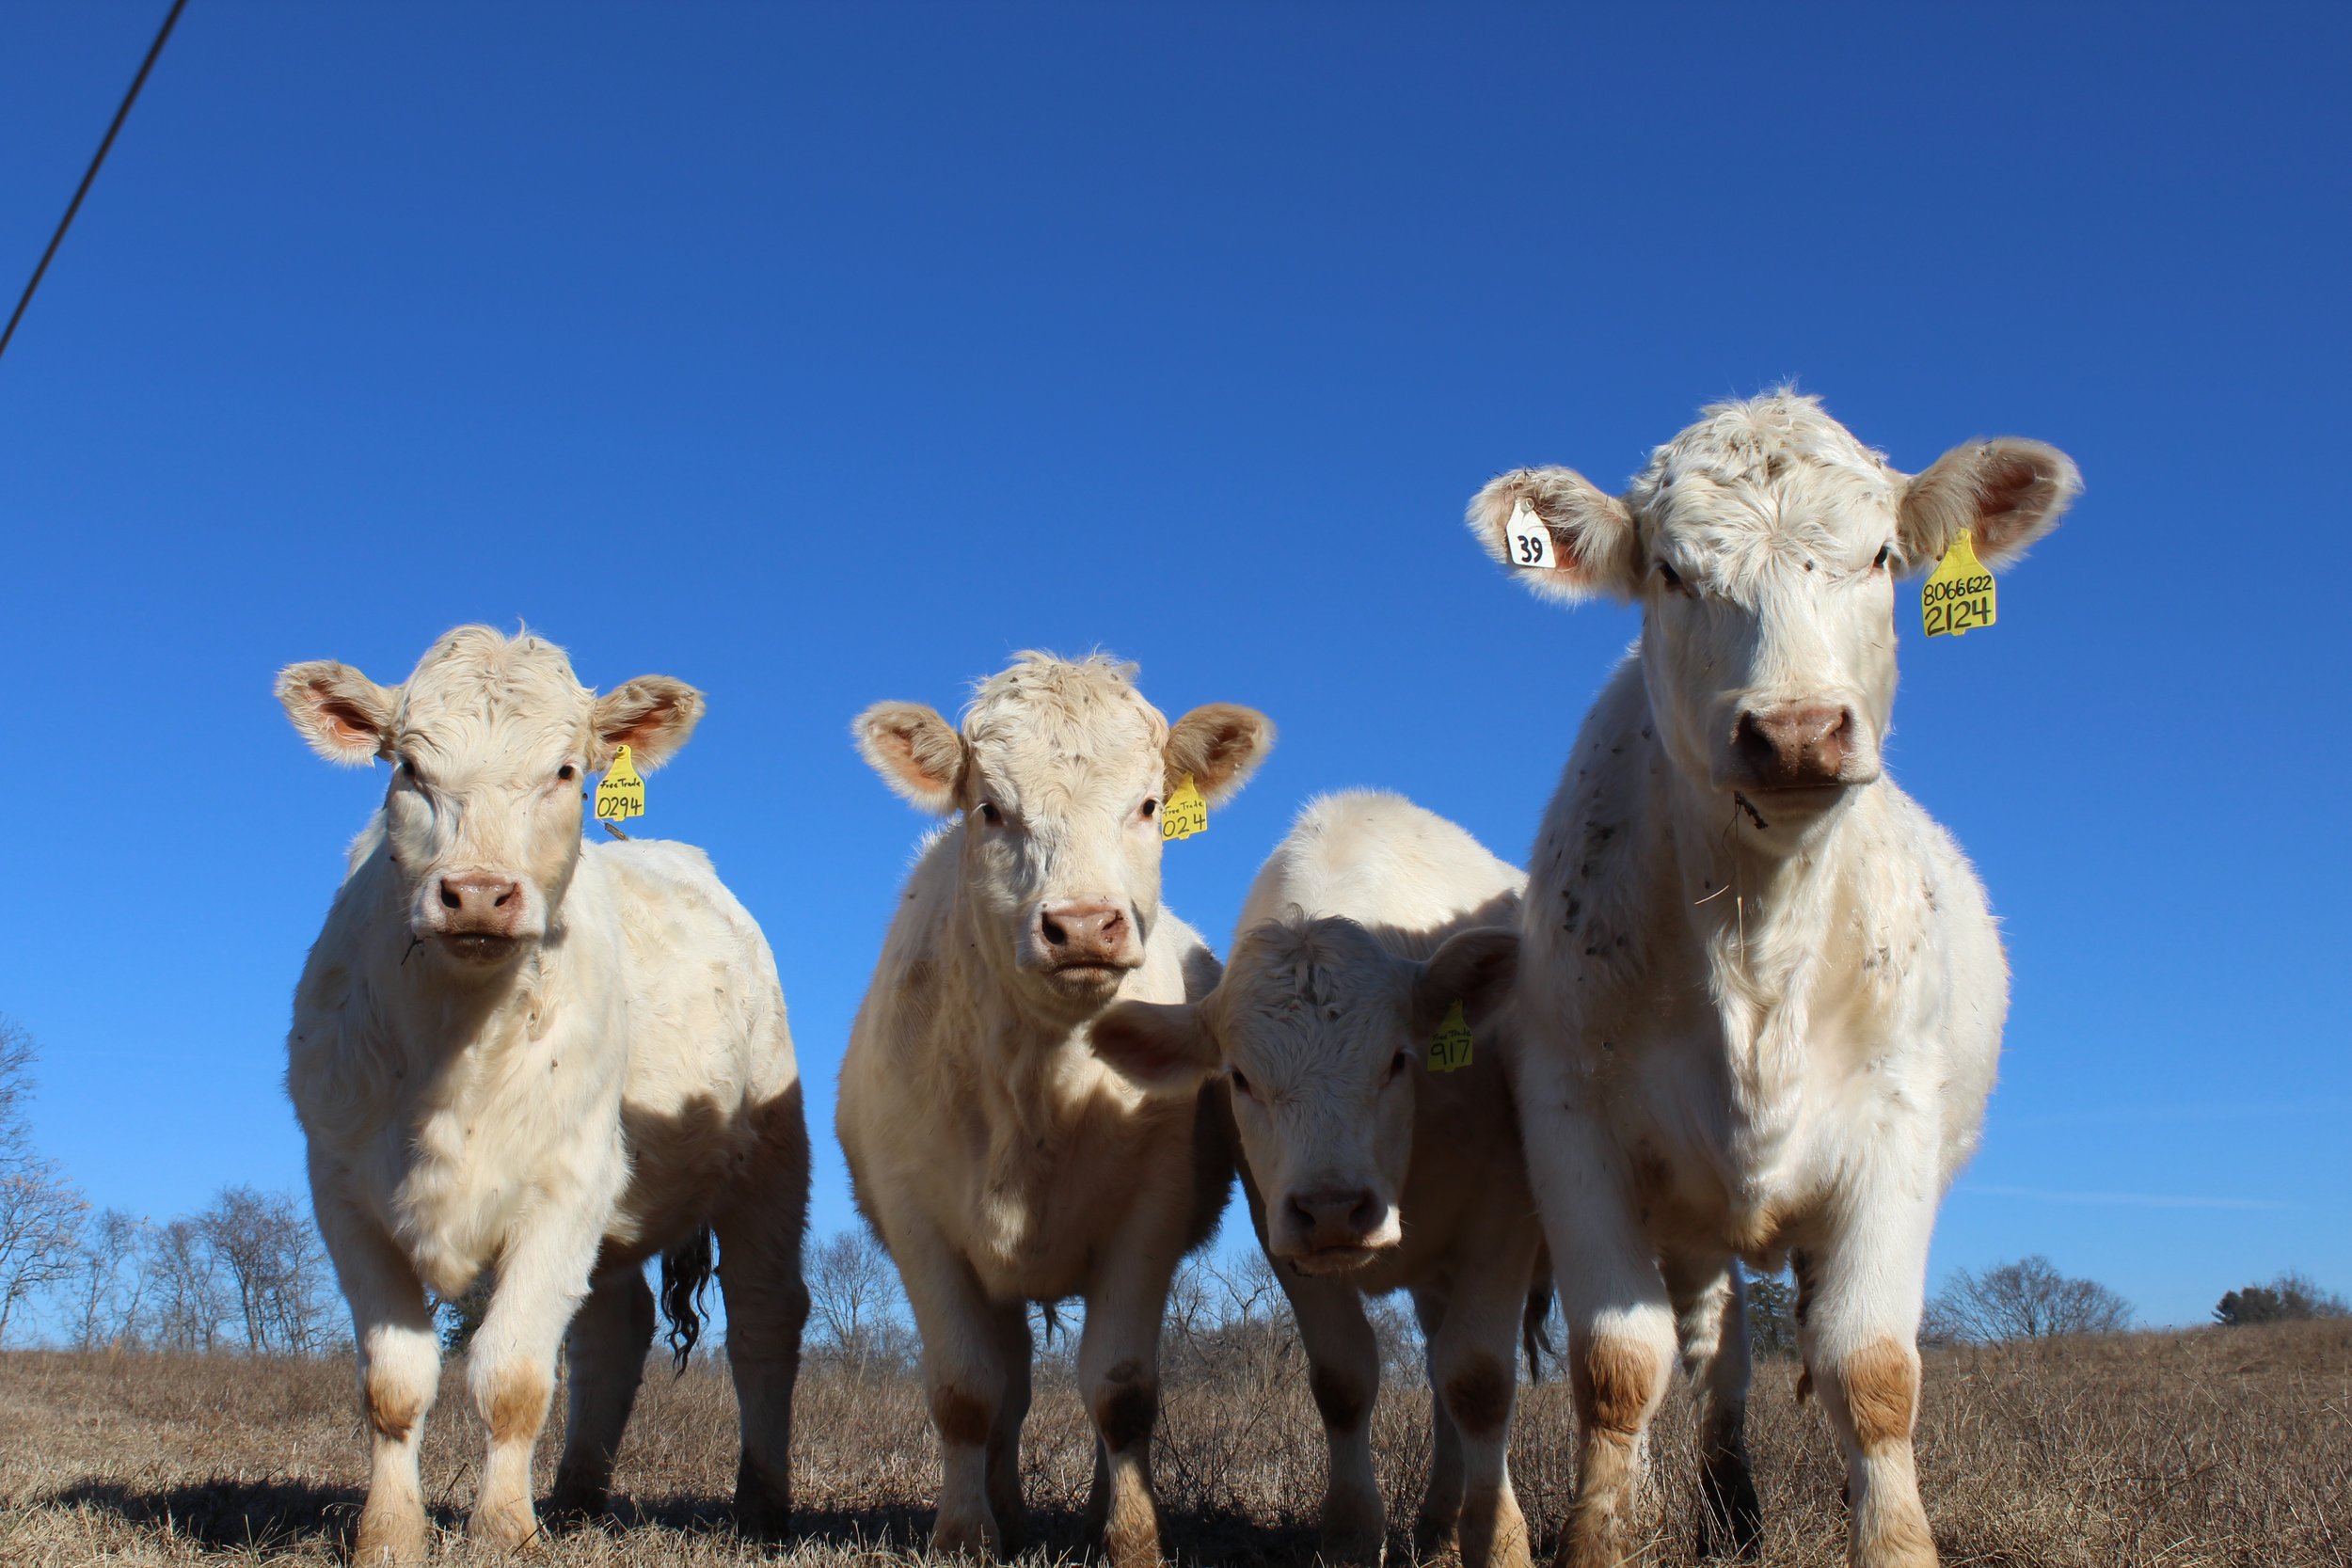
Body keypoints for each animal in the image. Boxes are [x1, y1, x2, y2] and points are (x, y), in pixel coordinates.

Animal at [276, 625, 809, 1564]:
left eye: (565, 770)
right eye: (408, 765)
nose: (478, 893)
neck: (455, 1046)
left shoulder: (567, 1186)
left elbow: (514, 1375)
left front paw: (501, 1530)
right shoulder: (343, 1193)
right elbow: (394, 1382)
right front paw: (389, 1533)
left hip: (768, 1167)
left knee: (762, 1322)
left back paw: (761, 1505)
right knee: (614, 1328)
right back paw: (576, 1494)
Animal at [837, 652, 1272, 1568]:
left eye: (1148, 805)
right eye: (990, 808)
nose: (1082, 925)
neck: (1036, 1091)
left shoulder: (1151, 1214)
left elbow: (1120, 1390)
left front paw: (1132, 1537)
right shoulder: (921, 1222)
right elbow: (967, 1390)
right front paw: (966, 1532)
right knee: (1009, 1388)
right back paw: (1006, 1508)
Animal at [1092, 790, 1538, 1568]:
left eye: (1397, 1059)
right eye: (1240, 1077)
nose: (1335, 1208)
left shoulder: (1502, 1217)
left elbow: (1480, 1379)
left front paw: (1502, 1539)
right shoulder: (1283, 1230)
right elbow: (1345, 1377)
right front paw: (1354, 1530)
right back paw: (1439, 1519)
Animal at [1462, 393, 2080, 1568]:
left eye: (1881, 555)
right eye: (1669, 571)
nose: (1794, 730)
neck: (1757, 943)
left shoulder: (1894, 1127)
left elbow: (1871, 1370)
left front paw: (1894, 1540)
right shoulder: (1571, 1124)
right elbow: (1618, 1365)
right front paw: (1601, 1533)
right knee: (1716, 1351)